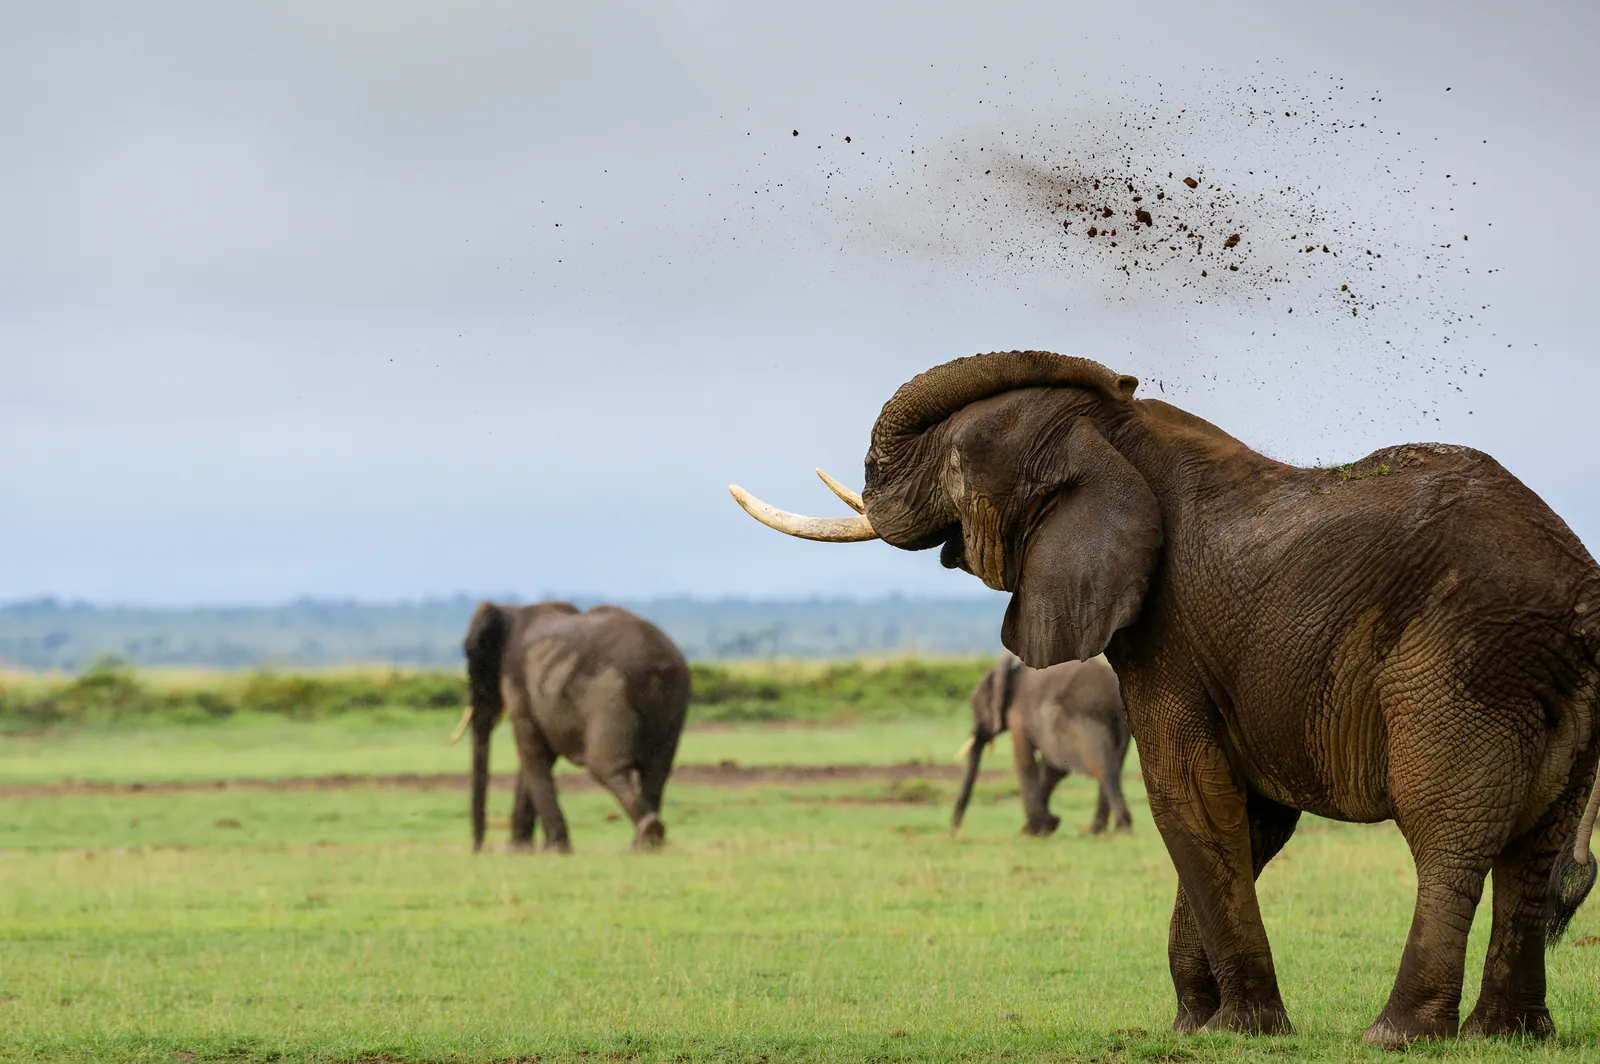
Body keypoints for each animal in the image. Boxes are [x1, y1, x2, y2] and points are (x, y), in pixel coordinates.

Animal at [454, 600, 690, 853]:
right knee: (657, 770)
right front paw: (521, 851)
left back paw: (647, 833)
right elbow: (538, 757)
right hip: (674, 699)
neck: (509, 611)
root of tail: (658, 662)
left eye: (469, 657)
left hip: (609, 695)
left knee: (605, 767)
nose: (477, 849)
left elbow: (533, 754)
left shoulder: (517, 684)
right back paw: (645, 844)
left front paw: (553, 850)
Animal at [952, 655, 1133, 836]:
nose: (954, 832)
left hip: (1086, 720)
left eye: (975, 704)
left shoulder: (1019, 715)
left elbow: (1025, 762)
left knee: (1101, 768)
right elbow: (1050, 769)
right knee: (1114, 765)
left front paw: (1032, 831)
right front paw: (1048, 825)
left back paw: (1118, 828)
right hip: (1120, 725)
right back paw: (1099, 831)